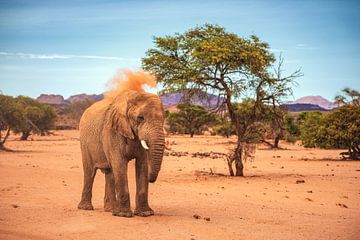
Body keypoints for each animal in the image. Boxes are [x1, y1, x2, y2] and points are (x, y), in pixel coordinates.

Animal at [78, 89, 165, 218]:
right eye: (140, 118)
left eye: (164, 118)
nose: (151, 179)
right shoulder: (112, 130)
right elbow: (119, 163)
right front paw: (124, 215)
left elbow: (142, 165)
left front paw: (146, 213)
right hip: (84, 143)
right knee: (90, 172)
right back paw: (86, 208)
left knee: (109, 173)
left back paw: (111, 210)